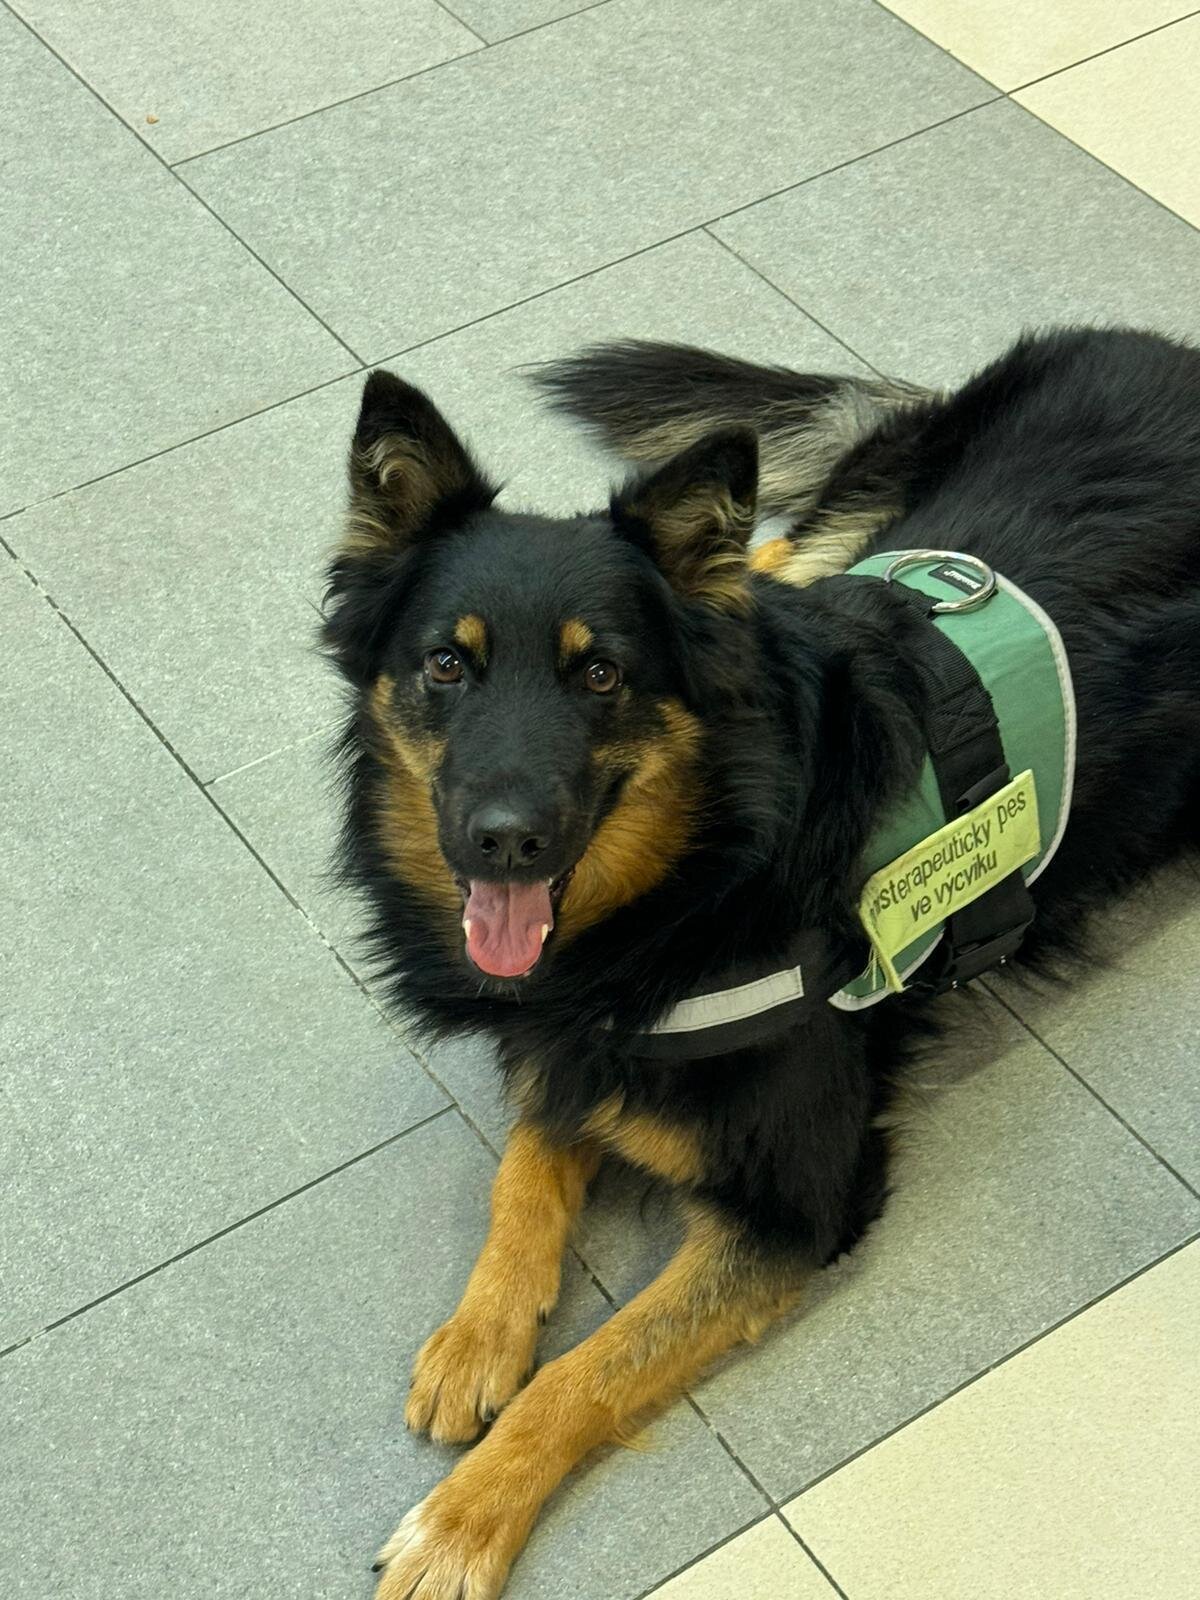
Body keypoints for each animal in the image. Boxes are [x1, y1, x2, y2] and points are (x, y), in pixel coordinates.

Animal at [321, 326, 1200, 1599]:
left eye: (601, 674)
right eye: (447, 665)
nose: (503, 840)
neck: (703, 870)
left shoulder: (793, 1204)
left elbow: (586, 1369)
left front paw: (461, 1521)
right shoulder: (572, 1039)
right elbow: (525, 1173)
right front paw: (479, 1334)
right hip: (856, 522)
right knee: (778, 560)